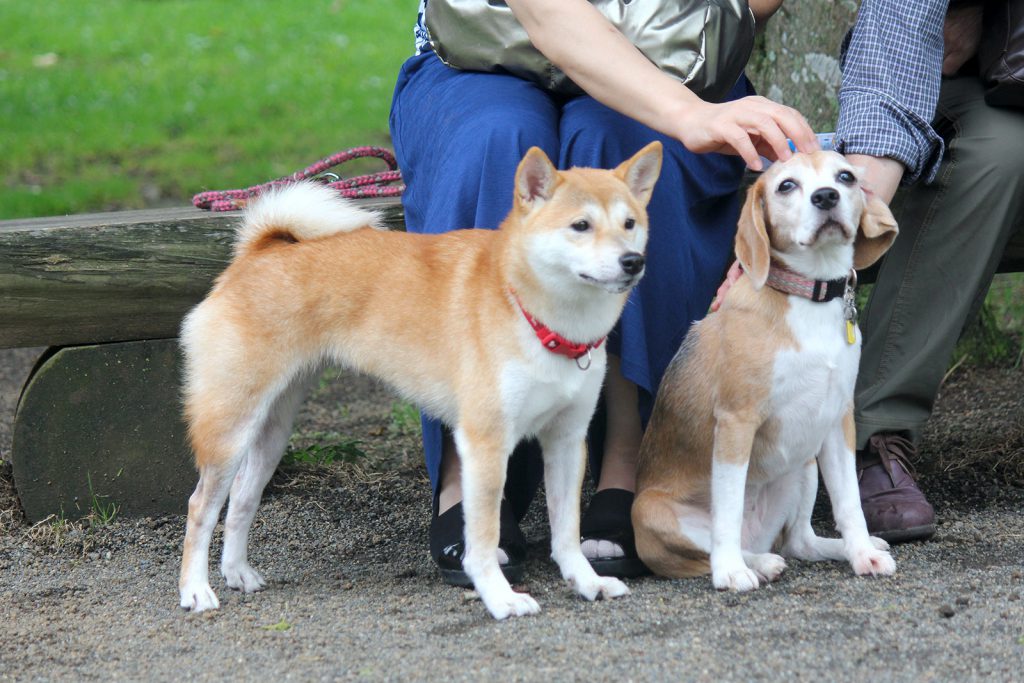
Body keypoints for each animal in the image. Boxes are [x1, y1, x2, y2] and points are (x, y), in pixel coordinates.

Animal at [177, 143, 663, 618]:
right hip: (230, 426)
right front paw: (500, 597)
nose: (633, 261)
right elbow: (483, 537)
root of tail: (260, 251)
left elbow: (567, 533)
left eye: (630, 223)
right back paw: (196, 590)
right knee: (201, 507)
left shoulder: (566, 438)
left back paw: (237, 573)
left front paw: (587, 581)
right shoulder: (485, 442)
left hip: (272, 429)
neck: (535, 314)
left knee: (242, 499)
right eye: (580, 225)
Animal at [634, 152, 901, 589]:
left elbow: (850, 503)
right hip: (653, 513)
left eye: (845, 176)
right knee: (719, 546)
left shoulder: (837, 422)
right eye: (786, 186)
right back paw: (750, 564)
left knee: (800, 542)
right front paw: (729, 572)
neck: (809, 296)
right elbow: (727, 512)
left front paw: (861, 552)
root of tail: (759, 537)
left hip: (805, 462)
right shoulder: (736, 423)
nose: (825, 196)